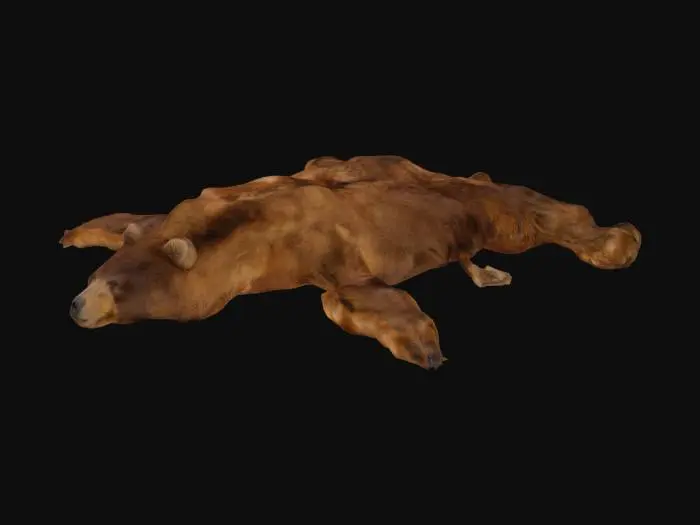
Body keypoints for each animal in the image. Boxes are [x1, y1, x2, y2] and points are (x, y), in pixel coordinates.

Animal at [61, 155, 641, 370]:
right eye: (95, 278)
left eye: (117, 289)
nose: (76, 306)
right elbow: (128, 219)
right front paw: (75, 233)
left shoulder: (332, 251)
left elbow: (347, 296)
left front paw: (425, 347)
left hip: (488, 211)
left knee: (538, 212)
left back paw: (618, 241)